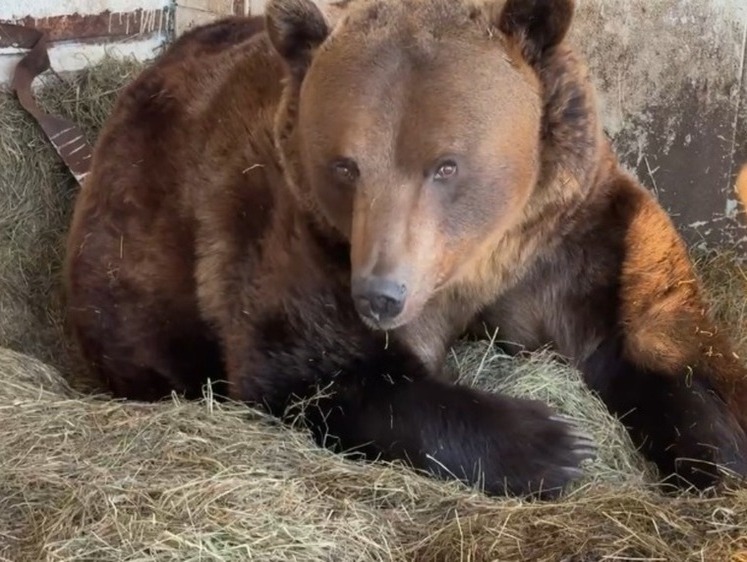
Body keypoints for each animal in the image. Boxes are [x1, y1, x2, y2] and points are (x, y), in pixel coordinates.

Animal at [64, 0, 747, 496]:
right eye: (344, 165)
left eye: (446, 164)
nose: (381, 295)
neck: (481, 261)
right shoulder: (303, 243)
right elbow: (311, 372)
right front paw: (554, 442)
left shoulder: (574, 238)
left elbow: (640, 343)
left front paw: (715, 452)